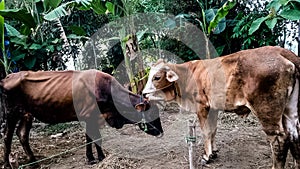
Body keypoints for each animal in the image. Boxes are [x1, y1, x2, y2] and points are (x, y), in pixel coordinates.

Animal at [0, 69, 164, 168]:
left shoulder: (91, 118)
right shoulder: (89, 116)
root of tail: (7, 77)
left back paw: (33, 162)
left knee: (22, 134)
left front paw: (93, 157)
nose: (161, 132)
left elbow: (91, 138)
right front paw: (98, 158)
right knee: (7, 137)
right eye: (151, 114)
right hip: (11, 113)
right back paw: (7, 164)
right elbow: (96, 138)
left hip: (27, 114)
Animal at [142, 45, 300, 168]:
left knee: (279, 141)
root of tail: (283, 52)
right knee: (294, 135)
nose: (143, 94)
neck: (187, 75)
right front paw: (214, 152)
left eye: (156, 77)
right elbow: (213, 130)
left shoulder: (202, 107)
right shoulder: (213, 108)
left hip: (267, 112)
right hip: (290, 111)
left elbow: (206, 131)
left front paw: (207, 156)